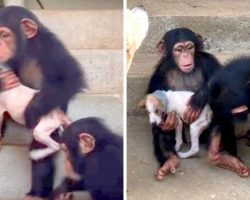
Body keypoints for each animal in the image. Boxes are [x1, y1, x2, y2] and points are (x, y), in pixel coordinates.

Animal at [0, 5, 86, 198]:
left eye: (4, 35)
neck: (27, 48)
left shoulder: (52, 48)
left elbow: (68, 78)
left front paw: (30, 111)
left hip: (45, 126)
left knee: (44, 146)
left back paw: (37, 193)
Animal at [146, 27, 221, 181]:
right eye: (179, 49)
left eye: (190, 47)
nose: (186, 55)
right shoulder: (158, 76)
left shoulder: (210, 62)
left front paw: (199, 98)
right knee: (159, 130)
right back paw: (169, 161)